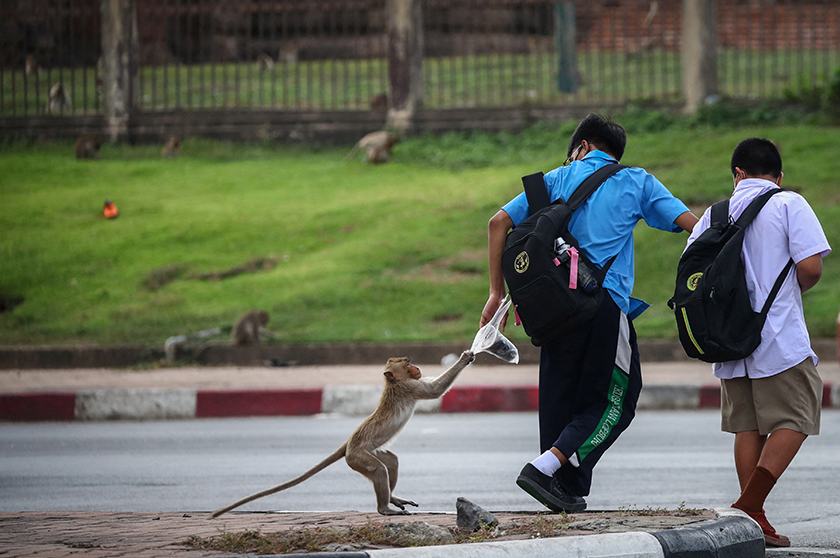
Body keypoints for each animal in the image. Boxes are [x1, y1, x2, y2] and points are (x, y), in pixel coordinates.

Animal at [209, 350, 475, 518]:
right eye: (407, 364)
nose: (417, 367)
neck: (393, 383)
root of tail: (348, 444)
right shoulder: (409, 387)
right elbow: (435, 390)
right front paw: (465, 358)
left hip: (365, 453)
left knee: (390, 461)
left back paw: (392, 498)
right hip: (357, 458)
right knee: (379, 469)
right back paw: (384, 508)